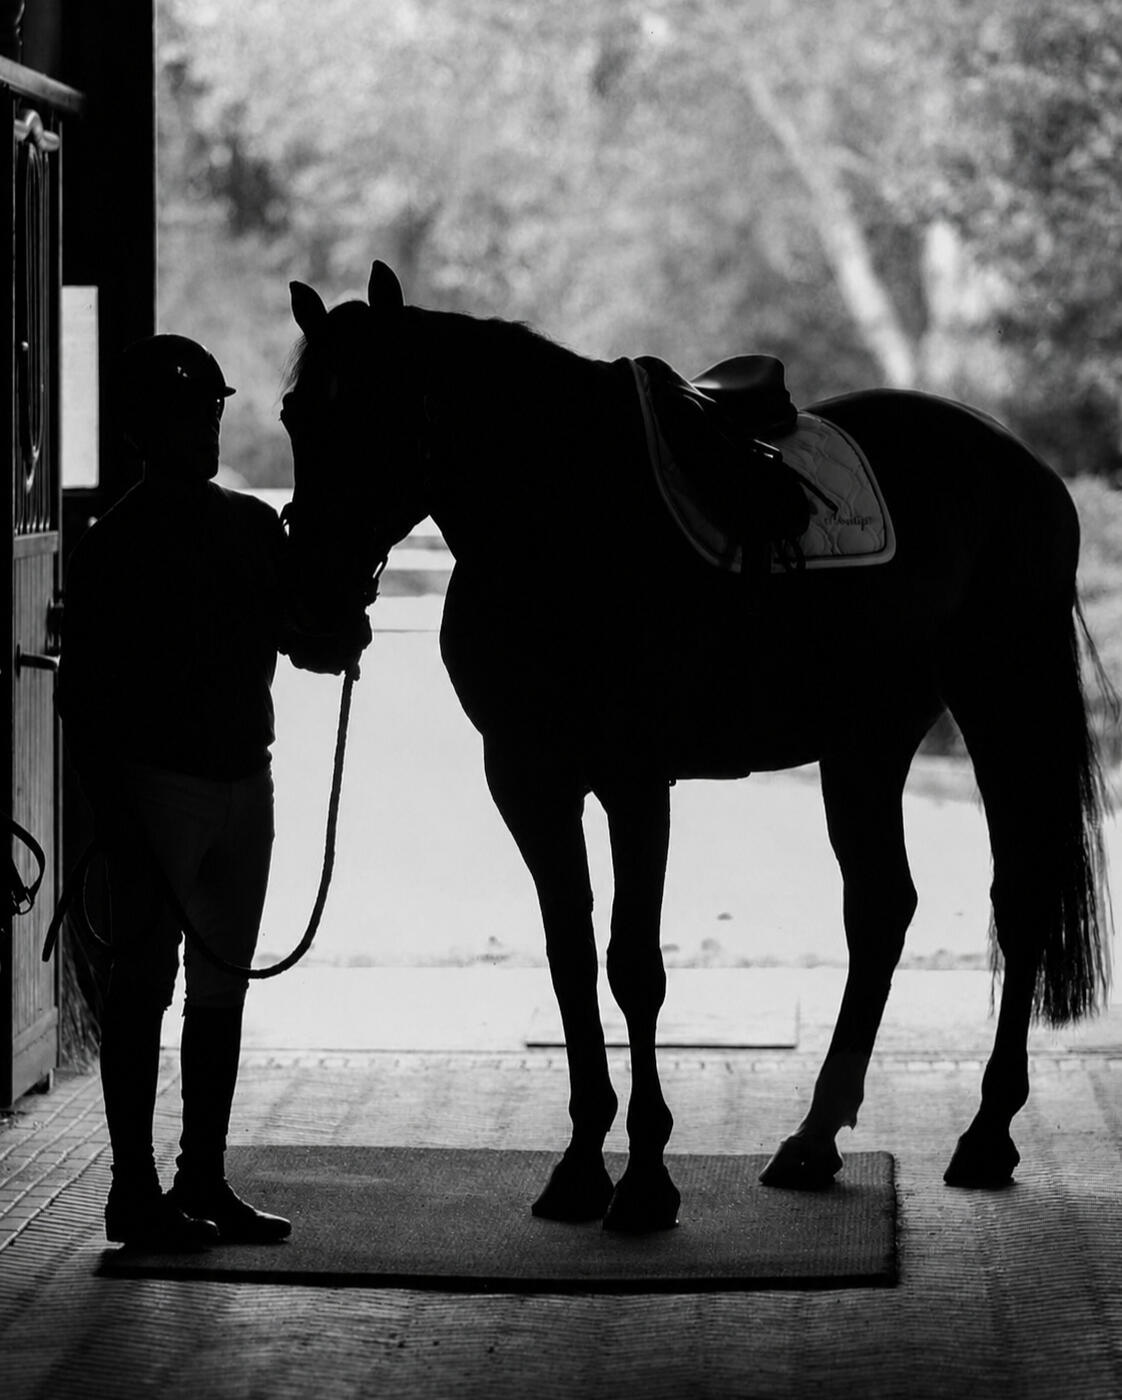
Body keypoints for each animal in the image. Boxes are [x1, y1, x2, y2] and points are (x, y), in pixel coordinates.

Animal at [280, 259, 1113, 1233]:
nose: (313, 613)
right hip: (866, 740)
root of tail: (1021, 465)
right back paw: (813, 1140)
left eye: (380, 410)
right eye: (296, 414)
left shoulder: (636, 780)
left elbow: (633, 967)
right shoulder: (527, 777)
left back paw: (985, 1134)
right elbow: (570, 959)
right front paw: (579, 1166)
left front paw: (645, 1181)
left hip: (1000, 700)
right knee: (880, 909)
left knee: (1017, 899)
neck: (561, 524)